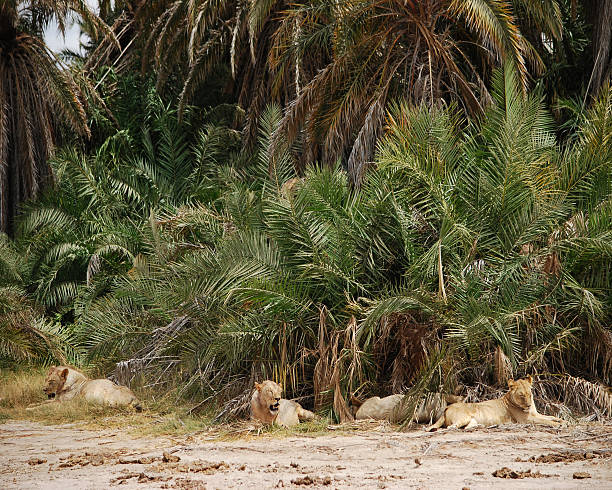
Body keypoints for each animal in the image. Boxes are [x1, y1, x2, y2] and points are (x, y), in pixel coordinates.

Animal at [426, 376, 564, 428]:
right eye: (521, 395)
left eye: (529, 394)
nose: (529, 405)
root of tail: (447, 408)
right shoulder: (526, 420)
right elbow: (545, 421)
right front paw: (558, 425)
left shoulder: (536, 414)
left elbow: (550, 416)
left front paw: (562, 421)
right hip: (463, 418)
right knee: (451, 427)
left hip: (471, 421)